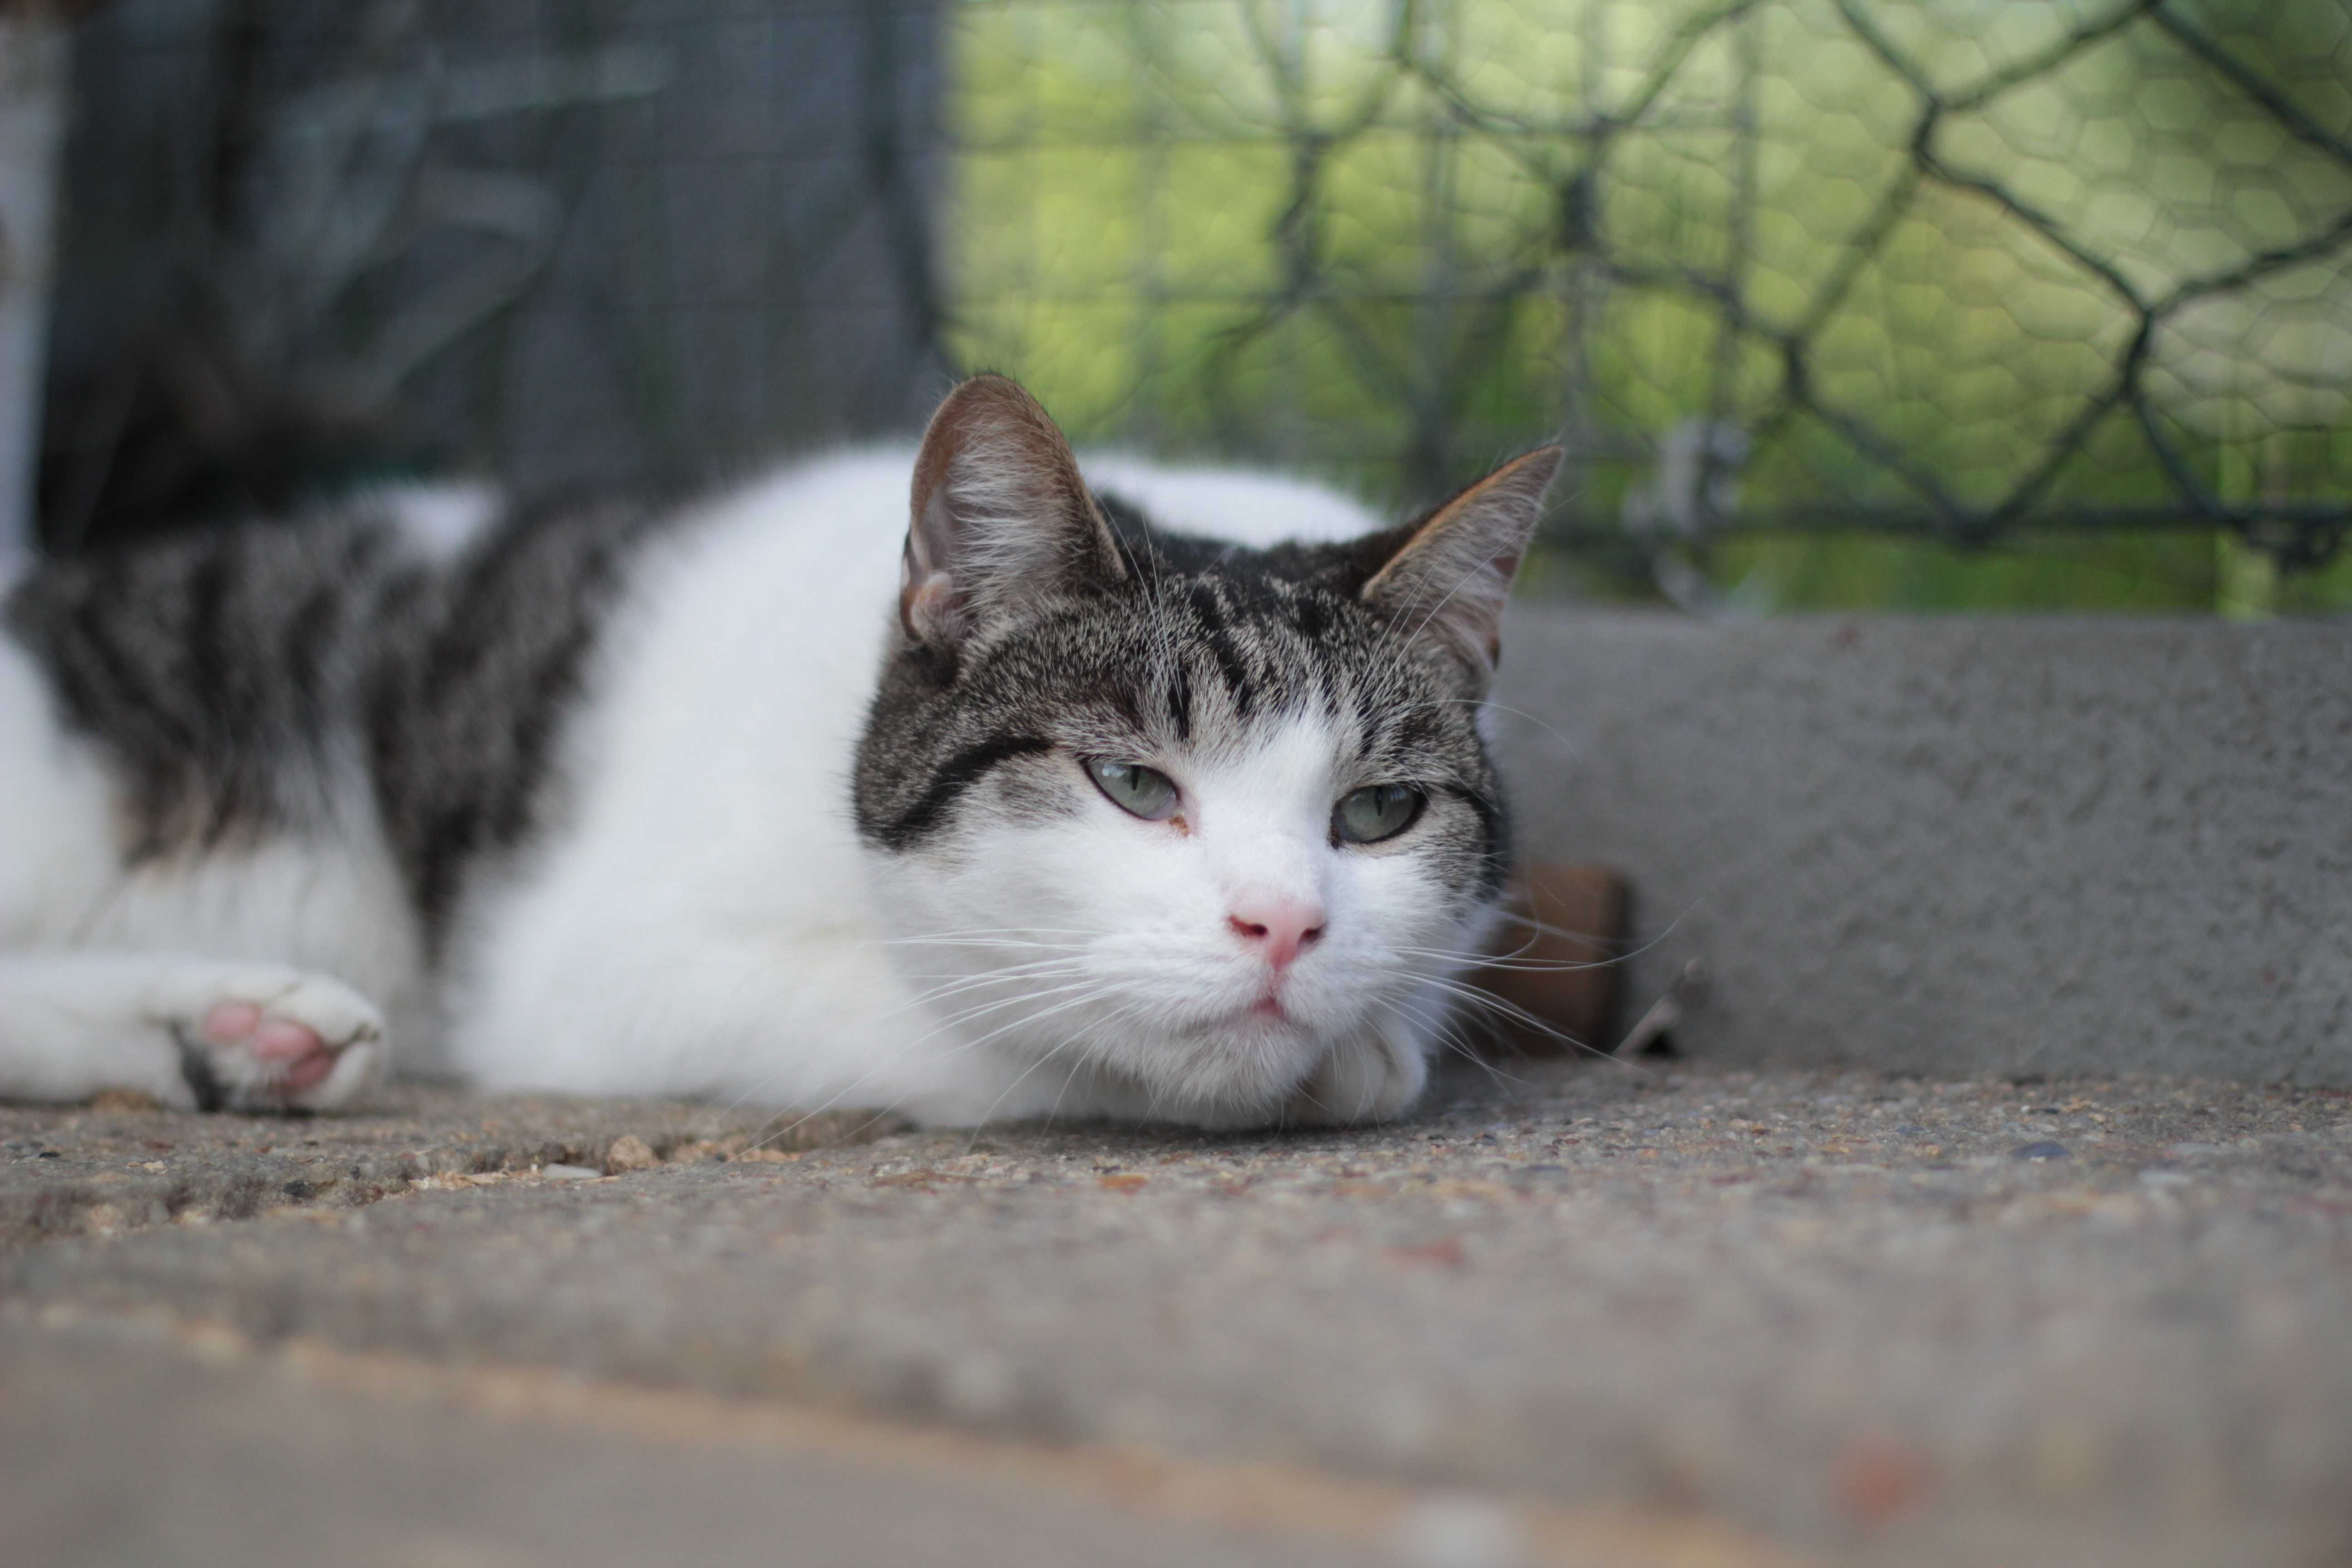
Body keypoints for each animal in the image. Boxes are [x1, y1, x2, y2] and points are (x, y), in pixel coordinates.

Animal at [0, 373, 1562, 1133]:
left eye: (1379, 812)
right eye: (1132, 786)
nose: (1286, 926)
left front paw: (1371, 1036)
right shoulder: (603, 970)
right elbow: (1011, 1033)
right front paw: (1342, 1064)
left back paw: (231, 1033)